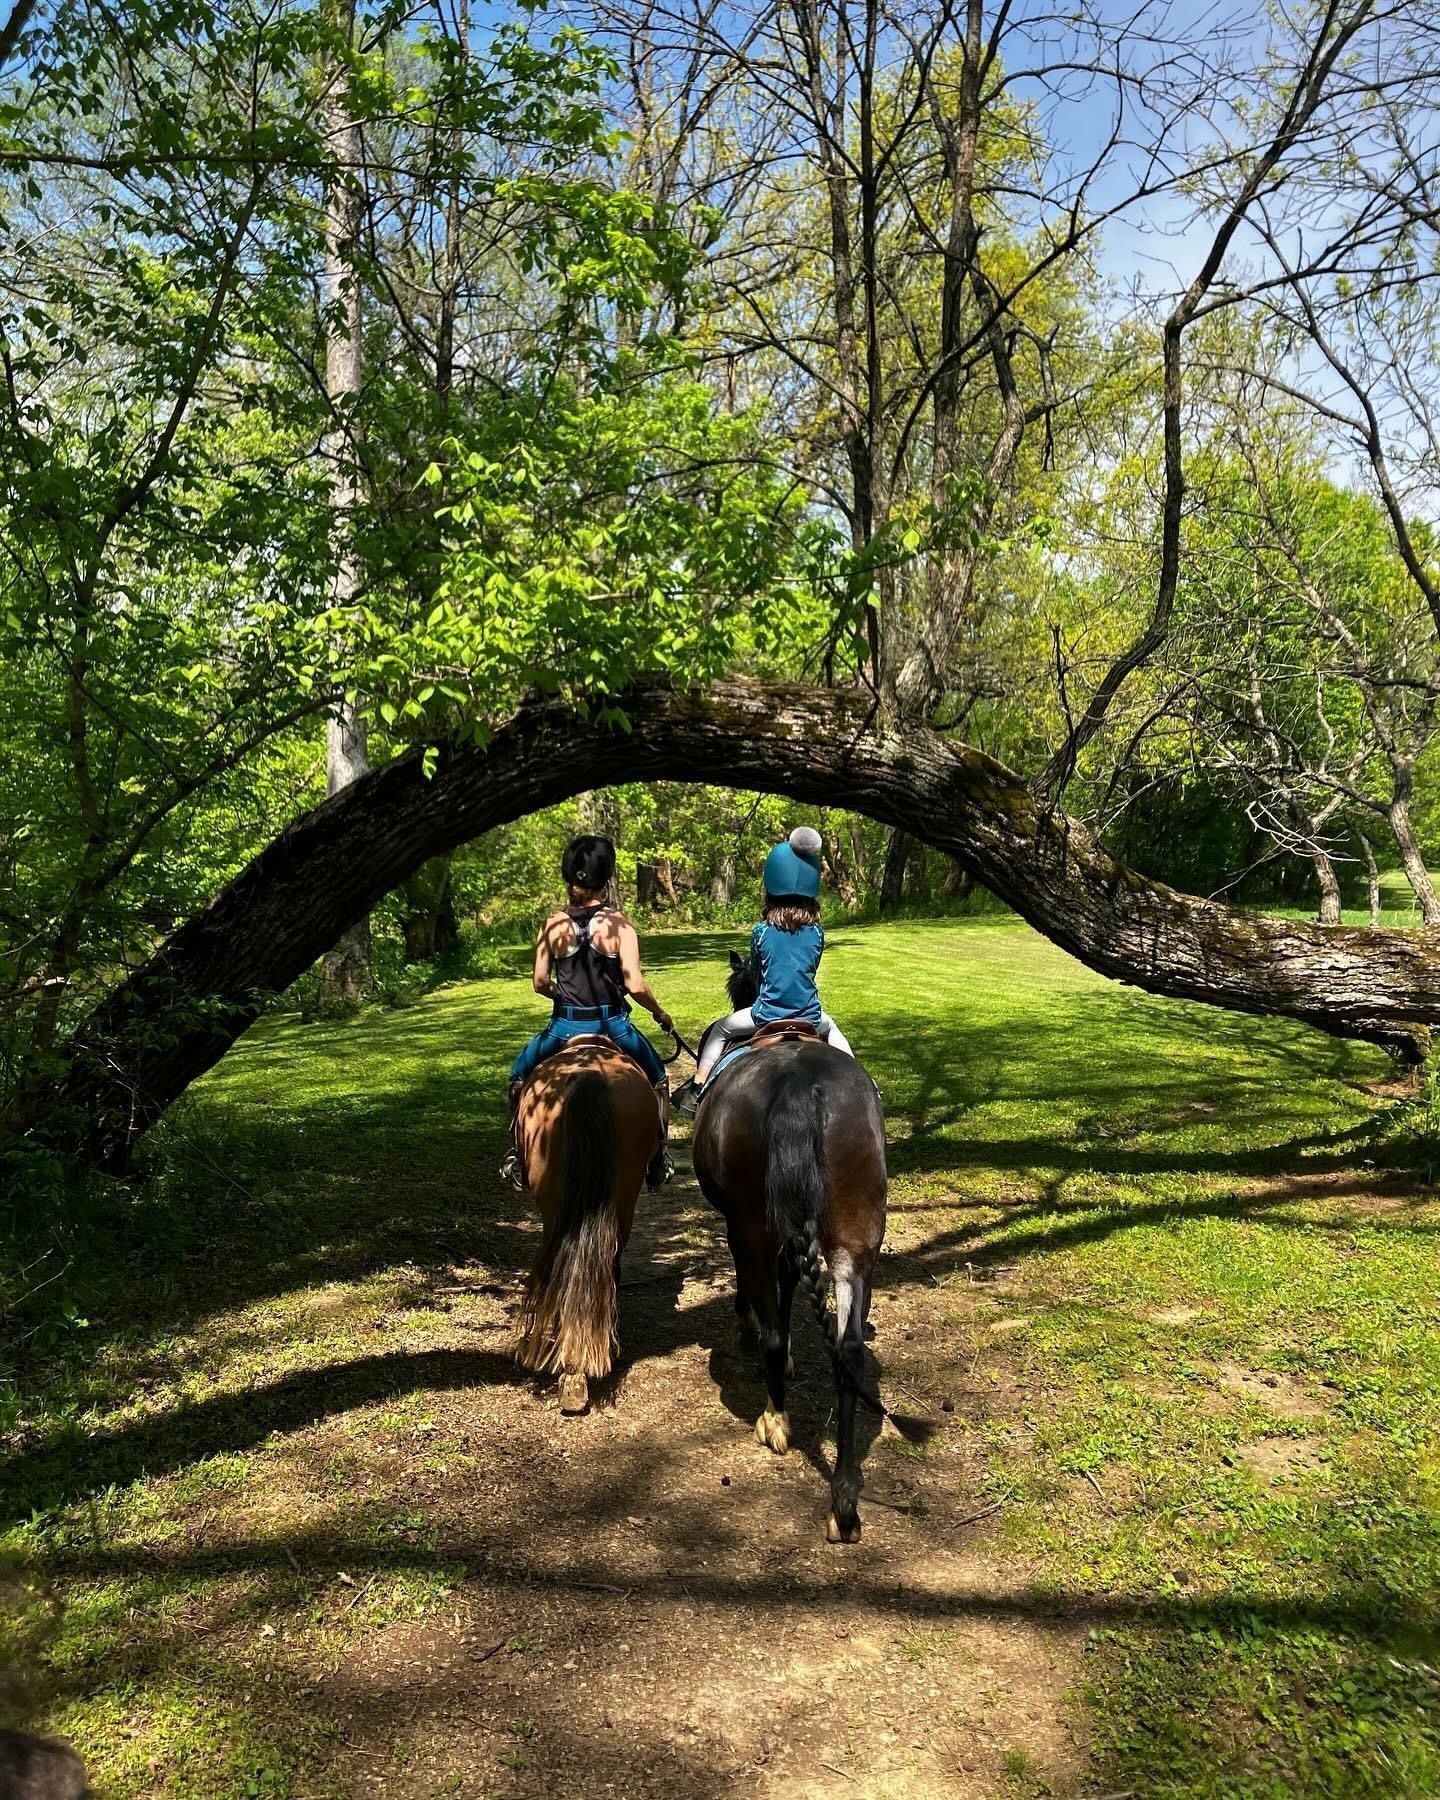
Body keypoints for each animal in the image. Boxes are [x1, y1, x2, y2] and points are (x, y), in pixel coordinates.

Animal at [687, 964, 882, 1540]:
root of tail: (801, 1086)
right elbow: (789, 1282)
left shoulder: (747, 1226)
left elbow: (764, 1291)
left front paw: (750, 1326)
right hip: (857, 1235)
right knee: (849, 1352)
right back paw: (843, 1502)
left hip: (753, 1222)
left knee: (772, 1326)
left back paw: (774, 1416)